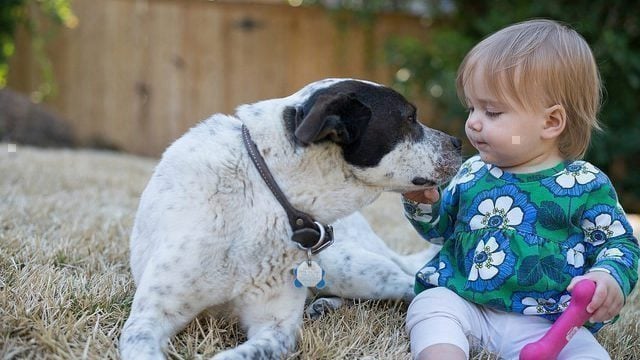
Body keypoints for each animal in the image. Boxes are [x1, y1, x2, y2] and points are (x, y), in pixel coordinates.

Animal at [119, 79, 460, 360]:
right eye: (410, 118)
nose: (458, 142)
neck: (267, 191)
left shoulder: (276, 326)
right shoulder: (149, 317)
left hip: (351, 269)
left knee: (412, 289)